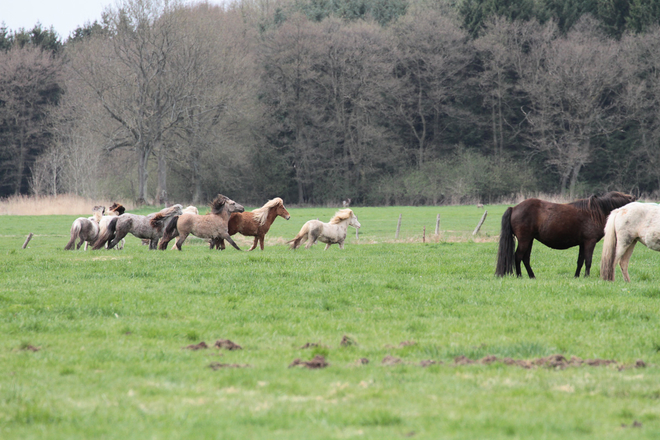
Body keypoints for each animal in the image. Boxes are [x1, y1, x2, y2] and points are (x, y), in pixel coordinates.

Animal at [498, 192, 636, 278]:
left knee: (525, 258)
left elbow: (580, 261)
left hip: (529, 240)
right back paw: (519, 276)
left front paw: (576, 276)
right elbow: (588, 261)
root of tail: (513, 208)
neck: (596, 212)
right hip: (524, 240)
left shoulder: (582, 243)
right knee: (518, 256)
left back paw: (532, 276)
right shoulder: (589, 242)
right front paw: (586, 276)